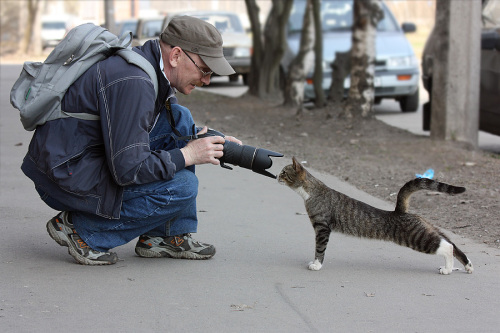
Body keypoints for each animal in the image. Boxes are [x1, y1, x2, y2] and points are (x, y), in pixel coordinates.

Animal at [280, 157, 474, 274]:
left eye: (284, 172)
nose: (277, 176)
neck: (312, 191)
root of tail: (401, 211)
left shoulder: (322, 228)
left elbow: (319, 249)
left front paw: (316, 265)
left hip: (418, 238)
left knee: (446, 247)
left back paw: (447, 269)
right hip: (428, 229)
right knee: (451, 243)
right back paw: (467, 266)